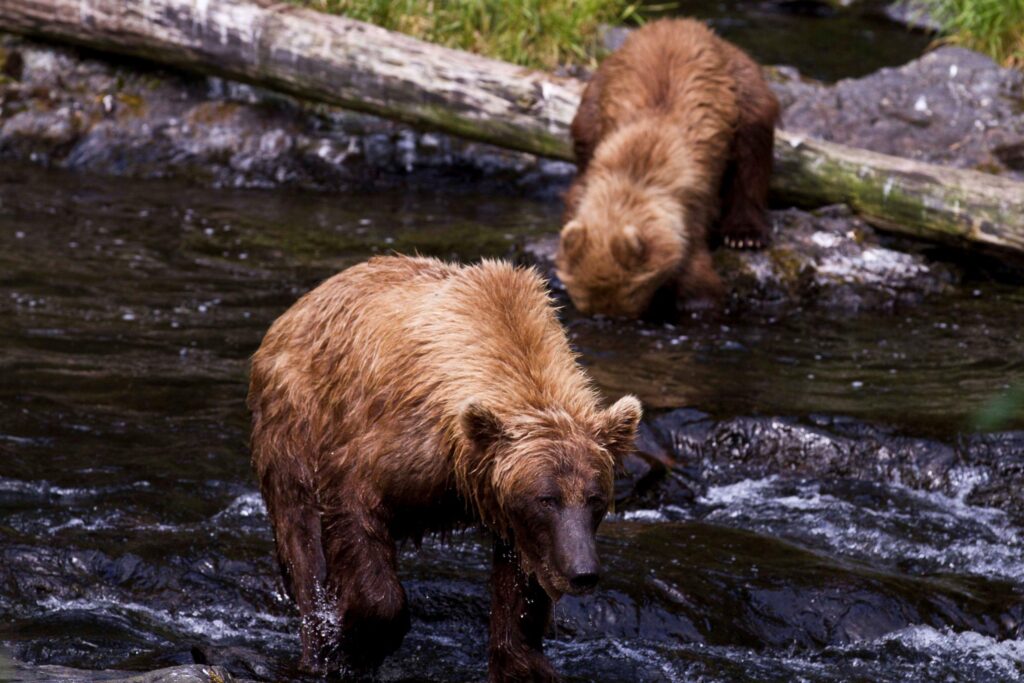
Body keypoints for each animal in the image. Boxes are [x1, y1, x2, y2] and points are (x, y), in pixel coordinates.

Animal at [247, 255, 642, 681]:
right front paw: (358, 641)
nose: (582, 571)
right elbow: (357, 515)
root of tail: (296, 308)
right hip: (294, 419)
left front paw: (522, 663)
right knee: (299, 531)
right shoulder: (394, 447)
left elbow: (520, 591)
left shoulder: (507, 510)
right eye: (546, 499)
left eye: (595, 498)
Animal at [558, 18, 780, 318]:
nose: (606, 315)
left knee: (752, 155)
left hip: (744, 91)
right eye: (584, 299)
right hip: (594, 93)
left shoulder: (693, 204)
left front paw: (696, 298)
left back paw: (745, 235)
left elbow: (695, 270)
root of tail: (682, 22)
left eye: (631, 294)